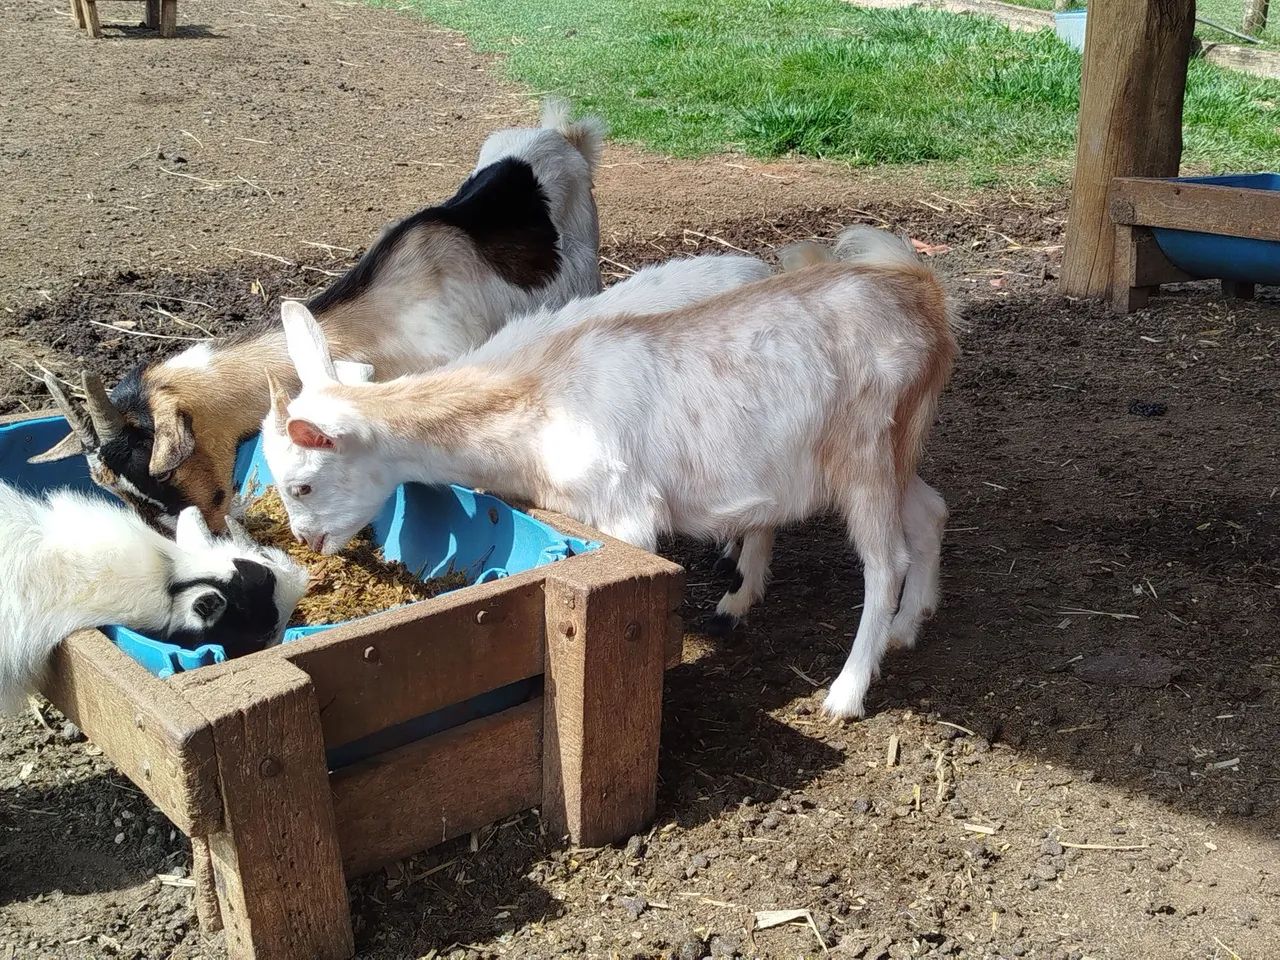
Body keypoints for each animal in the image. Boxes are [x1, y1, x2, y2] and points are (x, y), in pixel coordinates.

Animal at [260, 229, 956, 718]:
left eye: (302, 485)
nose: (306, 541)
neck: (537, 403)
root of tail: (924, 297)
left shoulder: (626, 511)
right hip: (887, 449)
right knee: (930, 511)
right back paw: (902, 626)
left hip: (865, 448)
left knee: (885, 559)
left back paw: (846, 690)